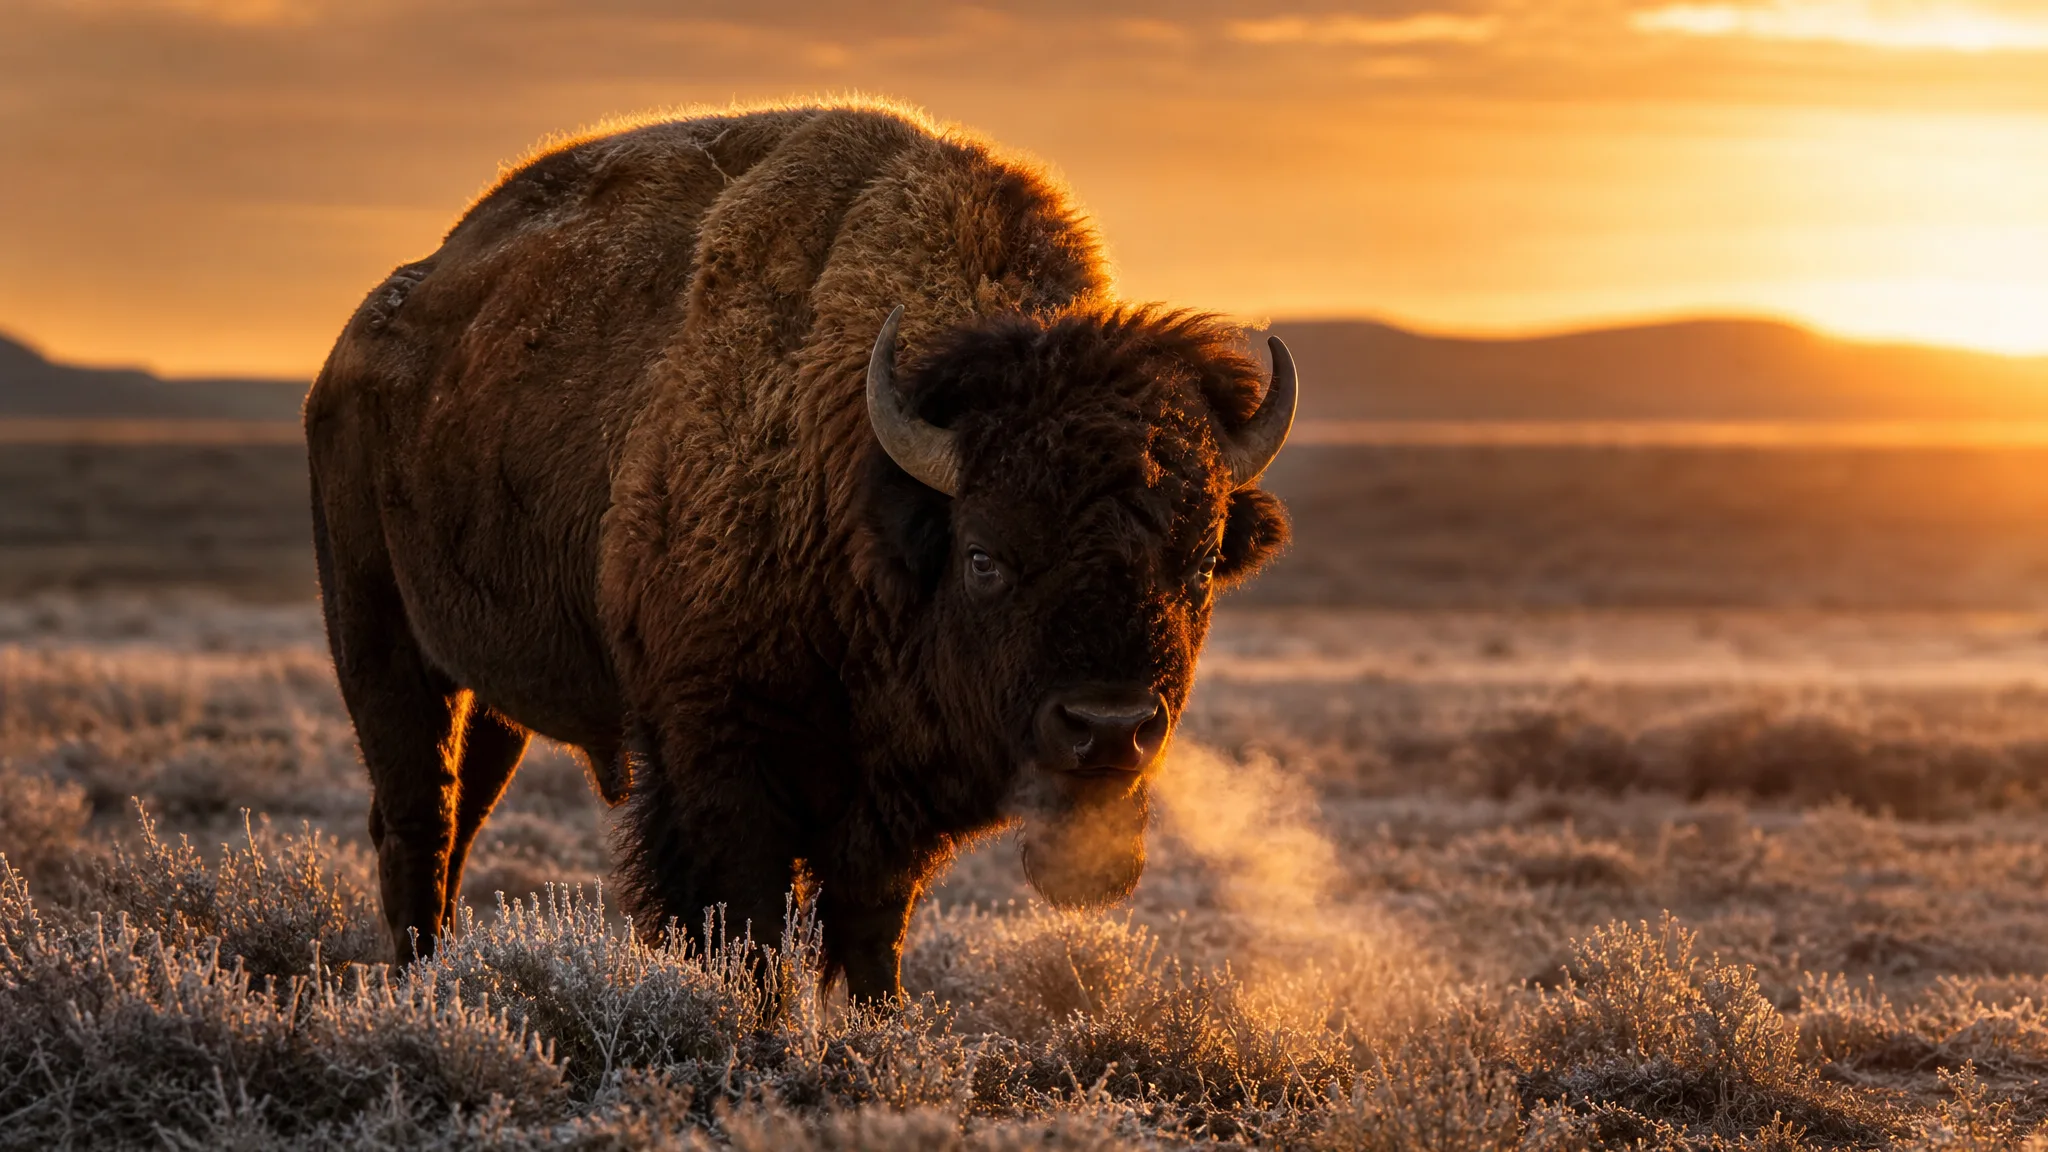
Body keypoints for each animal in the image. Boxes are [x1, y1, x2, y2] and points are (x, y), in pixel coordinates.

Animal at [304, 101, 1296, 1000]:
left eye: (1201, 564)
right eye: (984, 557)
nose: (1109, 727)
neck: (862, 487)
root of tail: (353, 346)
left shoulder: (885, 817)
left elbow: (868, 936)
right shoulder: (720, 764)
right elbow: (745, 932)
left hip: (492, 698)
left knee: (457, 812)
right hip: (380, 643)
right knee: (419, 815)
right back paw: (418, 983)